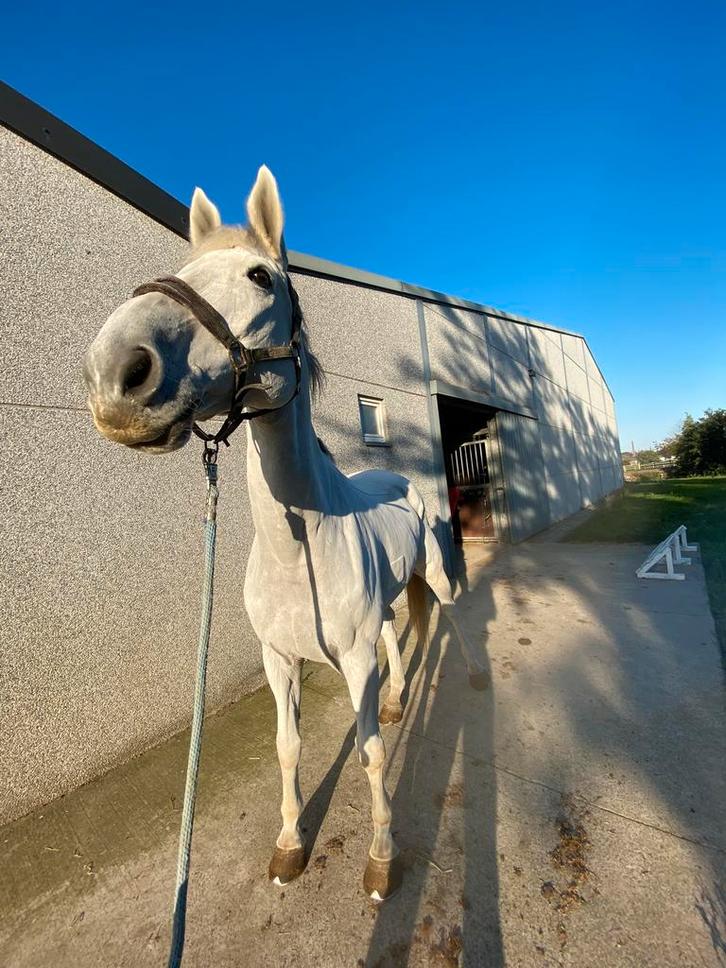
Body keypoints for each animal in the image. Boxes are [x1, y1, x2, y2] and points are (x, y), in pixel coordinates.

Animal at [83, 166, 486, 900]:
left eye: (260, 277)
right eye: (184, 267)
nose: (116, 373)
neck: (299, 550)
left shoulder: (352, 661)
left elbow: (371, 754)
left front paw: (382, 860)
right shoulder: (279, 658)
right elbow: (288, 747)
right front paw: (291, 846)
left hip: (435, 574)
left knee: (451, 614)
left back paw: (471, 679)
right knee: (398, 633)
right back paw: (396, 700)